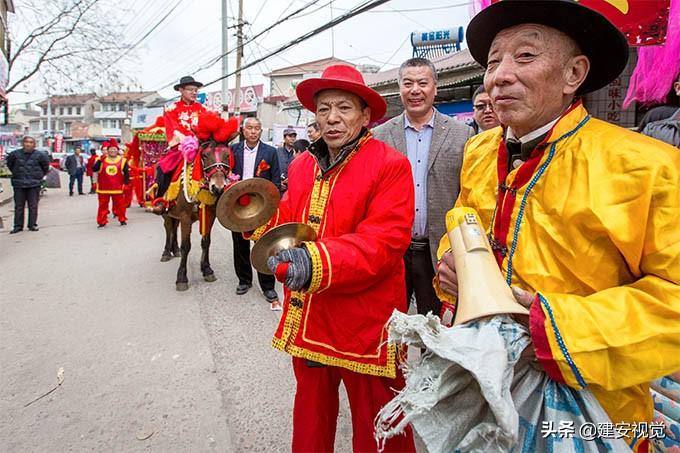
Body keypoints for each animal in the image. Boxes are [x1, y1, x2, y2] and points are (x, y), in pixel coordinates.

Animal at [160, 139, 232, 292]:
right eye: (204, 156)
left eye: (227, 155)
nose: (218, 188)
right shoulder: (185, 218)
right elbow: (186, 246)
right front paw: (181, 277)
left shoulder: (210, 216)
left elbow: (206, 242)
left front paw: (207, 269)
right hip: (167, 214)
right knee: (168, 229)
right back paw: (166, 252)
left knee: (174, 229)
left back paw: (174, 250)